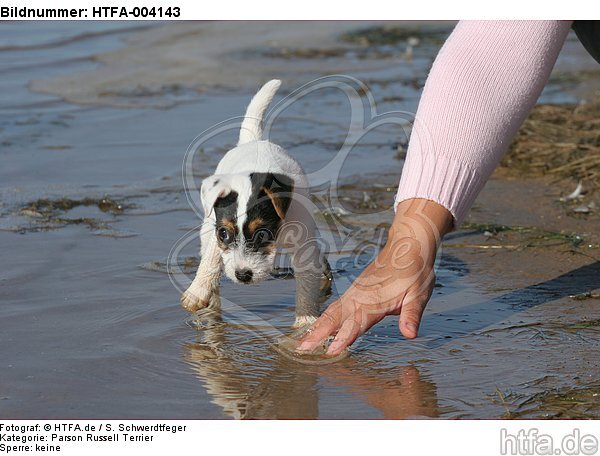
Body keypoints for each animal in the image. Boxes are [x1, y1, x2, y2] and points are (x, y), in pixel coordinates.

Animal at [183, 79, 332, 328]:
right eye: (224, 233)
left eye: (262, 234)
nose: (243, 275)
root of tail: (254, 141)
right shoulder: (216, 230)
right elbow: (211, 260)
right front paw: (198, 292)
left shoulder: (303, 242)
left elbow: (306, 281)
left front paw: (306, 320)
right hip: (206, 226)